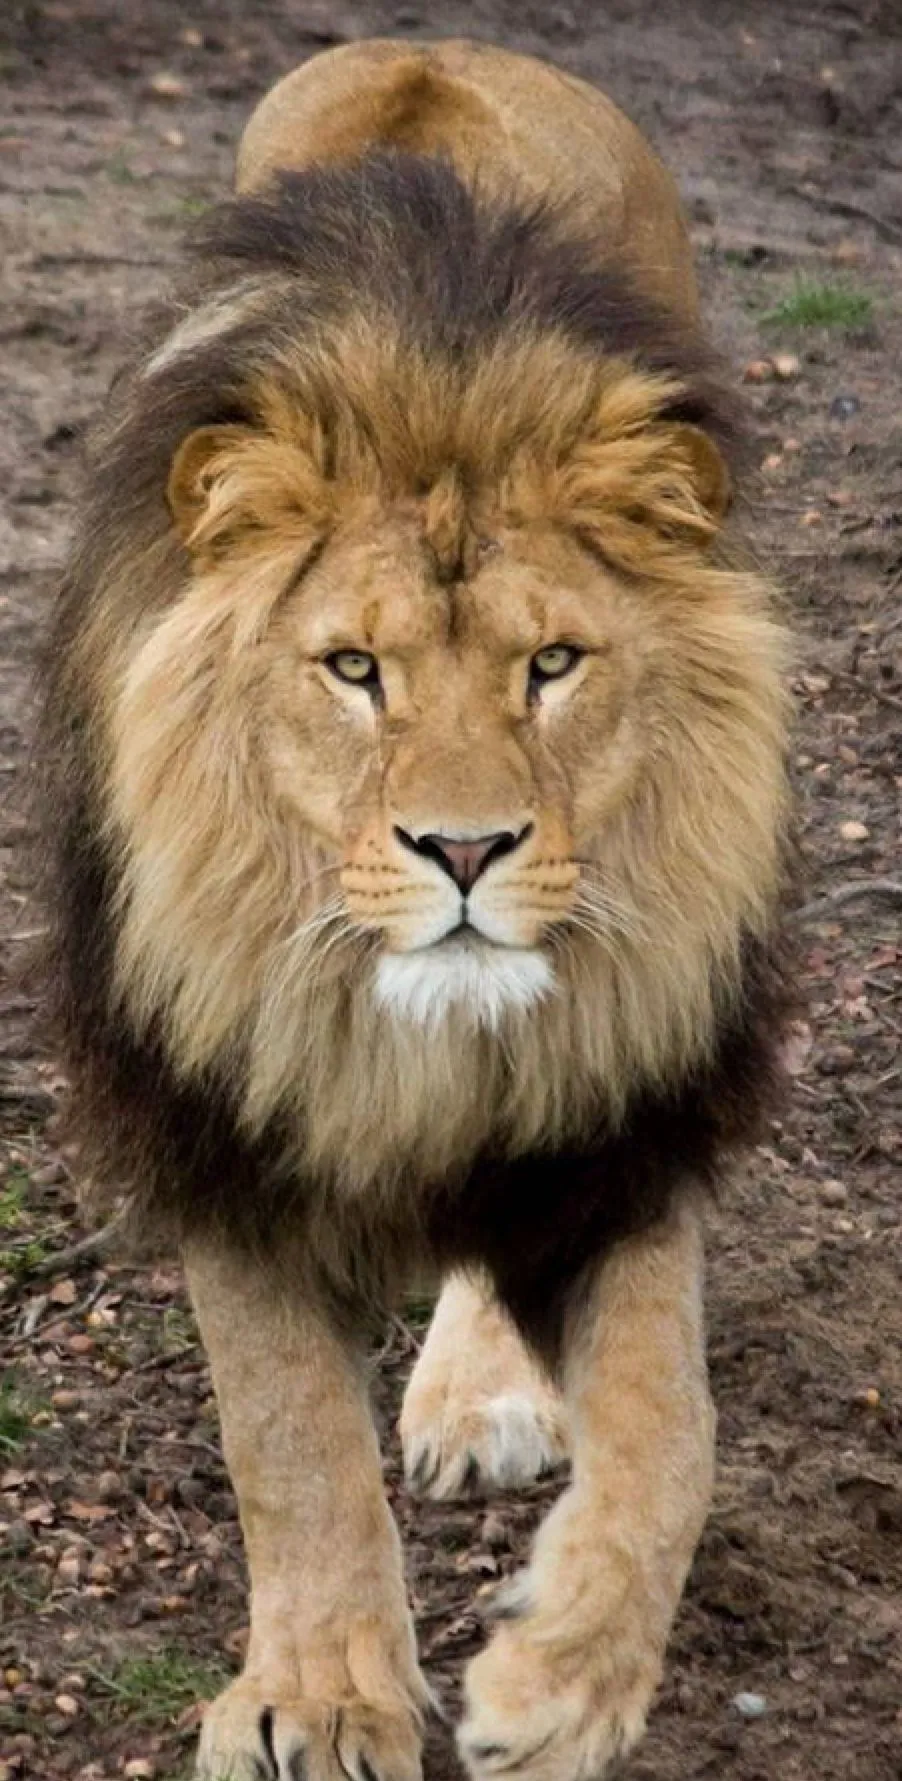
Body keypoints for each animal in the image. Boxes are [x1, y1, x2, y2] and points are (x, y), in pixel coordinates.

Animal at [41, 37, 792, 1781]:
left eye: (553, 663)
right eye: (351, 667)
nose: (464, 849)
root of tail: (436, 50)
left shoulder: (624, 1109)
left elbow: (670, 1427)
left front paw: (562, 1683)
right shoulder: (216, 1105)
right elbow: (286, 1431)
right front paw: (319, 1697)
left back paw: (478, 1399)